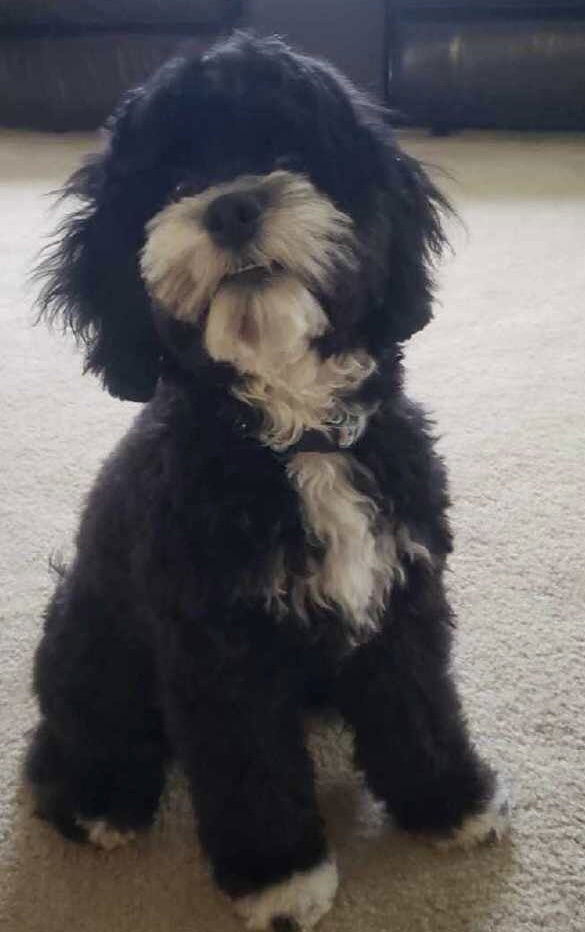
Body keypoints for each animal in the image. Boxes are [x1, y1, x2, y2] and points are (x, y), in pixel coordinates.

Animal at [25, 31, 508, 932]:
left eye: (290, 156)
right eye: (176, 183)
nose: (231, 206)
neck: (294, 439)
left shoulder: (401, 595)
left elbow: (420, 708)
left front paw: (450, 802)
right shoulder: (220, 650)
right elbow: (250, 767)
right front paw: (281, 876)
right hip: (94, 639)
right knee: (71, 732)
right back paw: (98, 799)